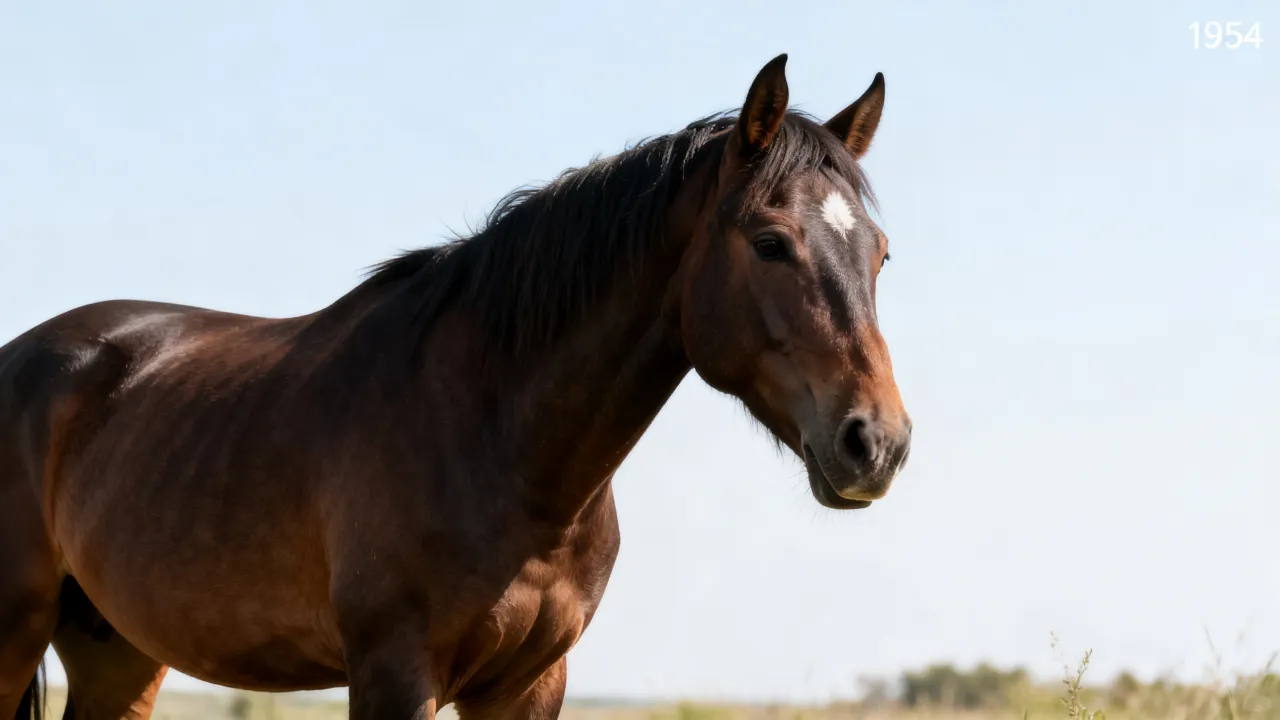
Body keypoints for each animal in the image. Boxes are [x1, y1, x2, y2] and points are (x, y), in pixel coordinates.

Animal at [0, 54, 910, 720]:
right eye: (769, 241)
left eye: (881, 253)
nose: (878, 443)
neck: (495, 437)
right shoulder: (396, 675)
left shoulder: (529, 686)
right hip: (17, 636)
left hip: (118, 652)